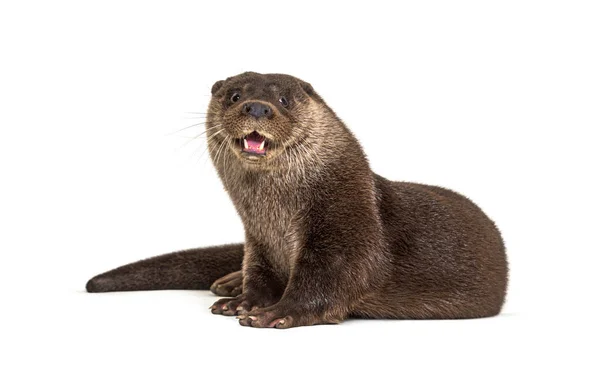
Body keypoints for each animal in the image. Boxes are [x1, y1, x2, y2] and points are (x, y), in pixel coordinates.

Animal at [84, 72, 506, 328]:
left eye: (284, 100)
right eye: (234, 95)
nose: (257, 107)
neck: (277, 216)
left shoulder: (344, 234)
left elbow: (325, 283)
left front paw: (276, 313)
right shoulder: (258, 241)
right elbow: (260, 274)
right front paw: (244, 300)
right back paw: (228, 283)